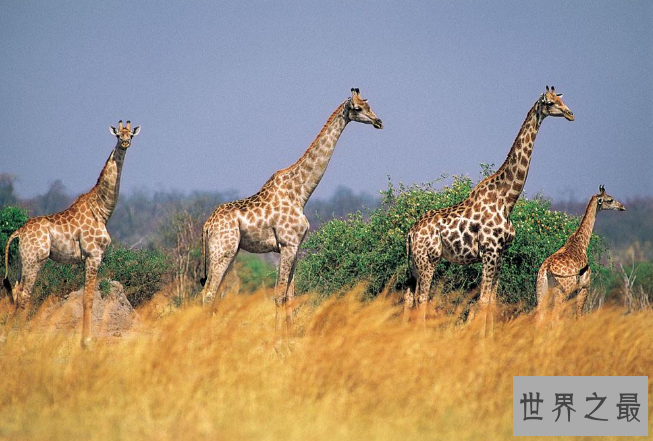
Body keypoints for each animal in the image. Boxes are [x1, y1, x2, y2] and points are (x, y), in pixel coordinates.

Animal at [3, 120, 140, 348]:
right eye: (117, 135)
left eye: (130, 135)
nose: (125, 143)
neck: (101, 210)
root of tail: (18, 232)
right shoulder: (94, 255)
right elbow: (88, 298)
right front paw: (87, 341)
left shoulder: (87, 258)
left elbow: (87, 296)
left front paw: (85, 339)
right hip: (34, 260)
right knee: (25, 294)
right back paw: (18, 338)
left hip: (25, 261)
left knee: (16, 290)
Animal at [199, 87, 382, 340]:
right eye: (358, 108)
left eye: (369, 105)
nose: (378, 121)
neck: (301, 193)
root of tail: (207, 225)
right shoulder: (287, 245)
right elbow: (279, 295)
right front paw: (278, 340)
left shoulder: (295, 247)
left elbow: (290, 296)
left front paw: (290, 336)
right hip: (222, 251)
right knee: (208, 294)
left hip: (228, 252)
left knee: (212, 294)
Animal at [404, 87, 572, 330]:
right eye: (550, 103)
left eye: (561, 99)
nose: (570, 114)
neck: (506, 199)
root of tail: (411, 233)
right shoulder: (490, 251)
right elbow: (483, 301)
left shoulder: (501, 253)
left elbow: (493, 300)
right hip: (428, 259)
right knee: (422, 298)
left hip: (415, 263)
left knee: (409, 296)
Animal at [536, 185, 628, 320]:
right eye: (610, 200)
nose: (622, 207)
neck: (581, 243)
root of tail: (546, 269)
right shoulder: (584, 286)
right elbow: (579, 313)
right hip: (562, 291)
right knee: (555, 315)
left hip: (541, 289)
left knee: (541, 315)